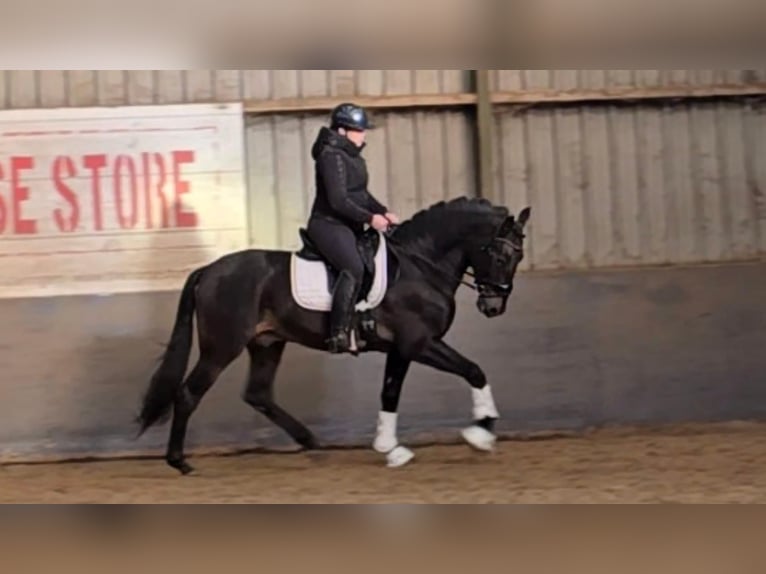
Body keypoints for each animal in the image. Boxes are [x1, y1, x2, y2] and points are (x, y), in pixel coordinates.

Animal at [138, 196, 532, 474]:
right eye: (499, 256)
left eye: (519, 257)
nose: (493, 306)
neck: (419, 266)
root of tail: (208, 270)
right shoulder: (420, 343)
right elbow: (474, 370)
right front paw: (481, 433)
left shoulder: (401, 349)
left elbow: (389, 393)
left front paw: (390, 449)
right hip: (222, 347)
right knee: (189, 394)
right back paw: (179, 462)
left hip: (267, 343)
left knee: (258, 394)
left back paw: (312, 442)